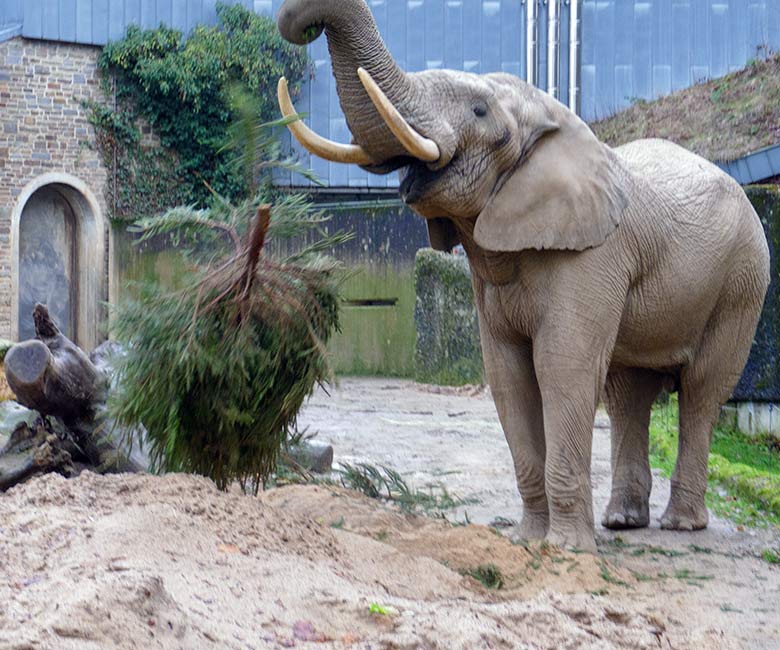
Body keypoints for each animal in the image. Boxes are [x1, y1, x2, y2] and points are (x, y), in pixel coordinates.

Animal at [272, 0, 768, 548]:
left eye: (479, 111)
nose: (305, 26)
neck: (552, 118)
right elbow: (507, 374)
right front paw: (529, 540)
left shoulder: (594, 255)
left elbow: (562, 367)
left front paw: (567, 549)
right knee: (627, 393)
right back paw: (623, 521)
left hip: (744, 280)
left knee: (702, 388)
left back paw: (680, 524)